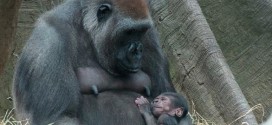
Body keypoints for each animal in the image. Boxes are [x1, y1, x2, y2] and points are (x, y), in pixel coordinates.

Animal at [13, 0, 176, 124]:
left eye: (141, 31)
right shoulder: (50, 39)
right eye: (129, 32)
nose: (137, 52)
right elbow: (60, 117)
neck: (87, 28)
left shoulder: (150, 37)